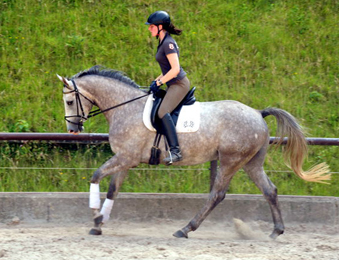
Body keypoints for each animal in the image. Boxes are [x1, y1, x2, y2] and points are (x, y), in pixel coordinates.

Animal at [57, 65, 330, 240]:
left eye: (69, 101)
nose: (72, 130)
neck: (125, 107)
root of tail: (257, 113)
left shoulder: (125, 157)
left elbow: (95, 176)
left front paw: (95, 219)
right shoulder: (126, 160)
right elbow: (113, 189)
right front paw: (100, 224)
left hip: (230, 160)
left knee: (217, 194)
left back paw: (185, 229)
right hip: (251, 163)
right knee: (269, 190)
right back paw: (276, 231)